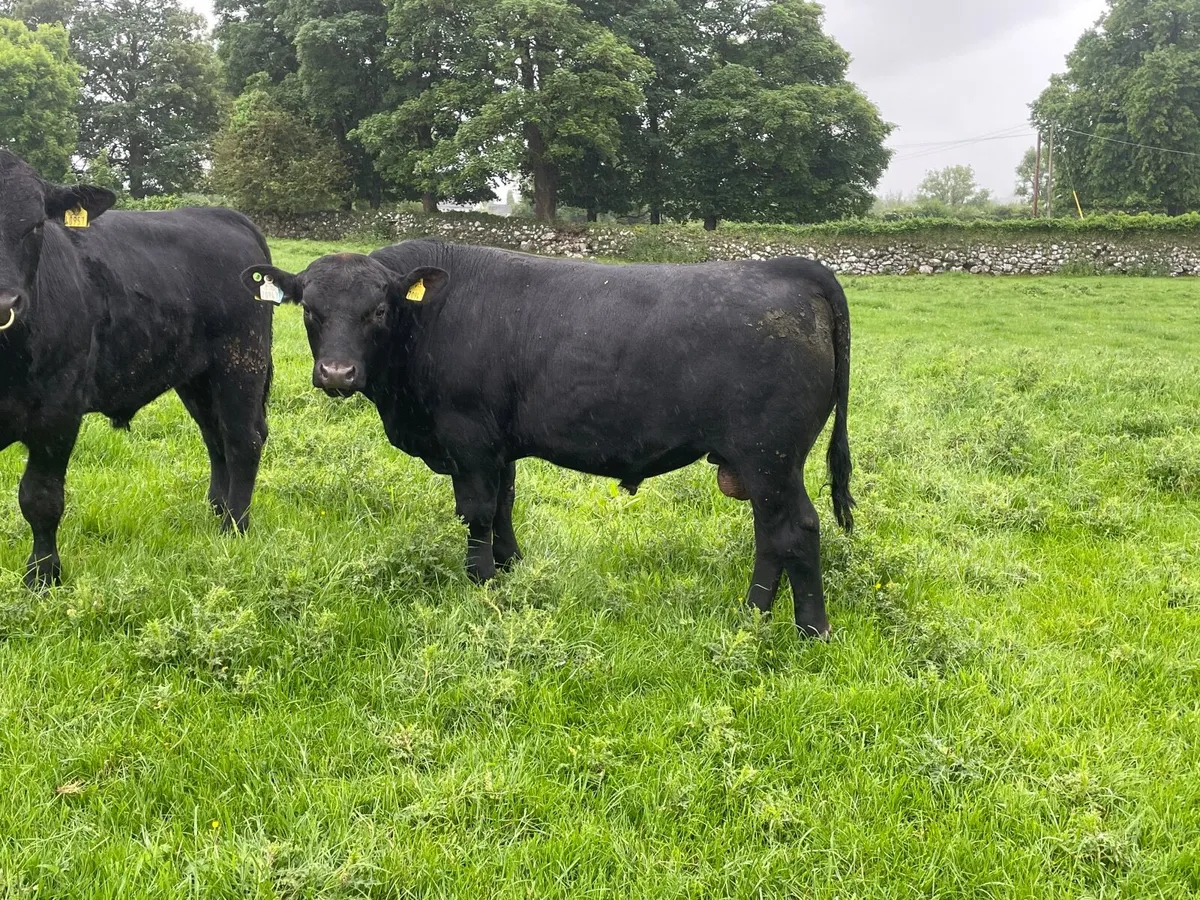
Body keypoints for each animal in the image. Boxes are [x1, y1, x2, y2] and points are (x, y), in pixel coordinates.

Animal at [0, 150, 273, 587]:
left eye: (37, 223)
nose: (5, 303)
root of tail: (225, 215)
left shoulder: (59, 413)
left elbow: (40, 497)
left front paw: (43, 576)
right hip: (197, 376)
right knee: (214, 436)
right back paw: (217, 507)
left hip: (241, 362)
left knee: (242, 439)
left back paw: (234, 525)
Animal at [243, 239, 853, 637]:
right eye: (311, 310)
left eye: (378, 309)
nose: (337, 373)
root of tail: (790, 269)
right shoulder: (499, 446)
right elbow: (504, 508)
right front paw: (511, 572)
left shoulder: (469, 439)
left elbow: (477, 512)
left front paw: (481, 583)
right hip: (759, 466)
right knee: (771, 537)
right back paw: (753, 618)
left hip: (770, 457)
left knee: (795, 530)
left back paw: (809, 630)